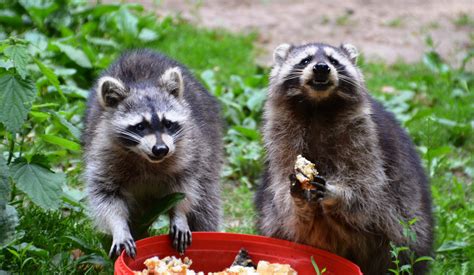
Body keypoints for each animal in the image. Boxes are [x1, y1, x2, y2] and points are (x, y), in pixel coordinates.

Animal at [82, 49, 223, 258]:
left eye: (168, 123)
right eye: (140, 126)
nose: (161, 149)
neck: (146, 160)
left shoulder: (189, 153)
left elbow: (185, 189)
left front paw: (179, 214)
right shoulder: (102, 154)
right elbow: (106, 196)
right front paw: (119, 228)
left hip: (209, 153)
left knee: (206, 205)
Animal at [256, 43, 434, 275]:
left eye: (334, 61)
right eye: (306, 60)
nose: (321, 67)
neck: (318, 105)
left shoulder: (365, 138)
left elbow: (367, 189)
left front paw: (336, 193)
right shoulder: (281, 139)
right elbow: (282, 197)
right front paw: (298, 199)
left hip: (408, 218)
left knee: (404, 240)